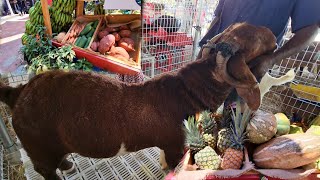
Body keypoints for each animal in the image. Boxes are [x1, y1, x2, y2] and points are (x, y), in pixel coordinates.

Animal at [0, 22, 276, 180]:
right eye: (255, 38)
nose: (274, 37)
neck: (190, 88)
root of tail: (19, 92)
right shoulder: (176, 143)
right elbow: (174, 162)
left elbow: (165, 161)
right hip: (39, 144)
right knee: (44, 169)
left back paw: (67, 164)